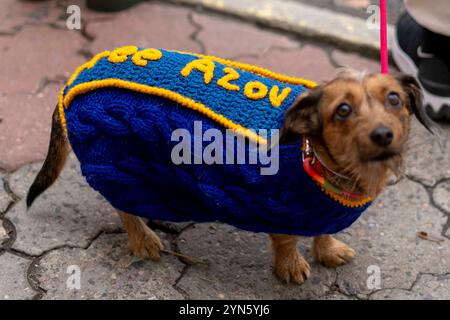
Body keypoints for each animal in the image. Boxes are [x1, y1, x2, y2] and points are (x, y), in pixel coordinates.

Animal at [27, 70, 432, 284]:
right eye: (343, 110)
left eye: (394, 99)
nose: (383, 135)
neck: (316, 160)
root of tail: (71, 84)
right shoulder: (277, 208)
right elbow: (287, 241)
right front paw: (292, 267)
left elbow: (322, 230)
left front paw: (328, 250)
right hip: (117, 168)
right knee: (124, 209)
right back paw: (143, 239)